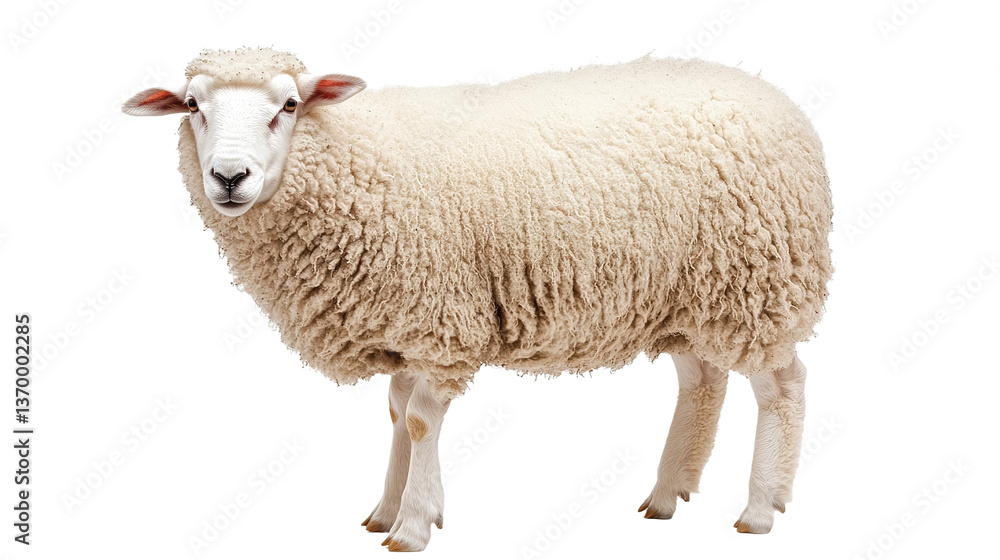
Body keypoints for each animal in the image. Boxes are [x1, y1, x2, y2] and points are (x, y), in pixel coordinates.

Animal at [123, 47, 833, 551]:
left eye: (290, 105)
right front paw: (386, 508)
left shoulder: (439, 321)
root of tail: (776, 98)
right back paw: (667, 494)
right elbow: (396, 412)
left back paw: (760, 508)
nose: (229, 177)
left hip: (759, 281)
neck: (356, 155)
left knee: (783, 386)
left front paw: (412, 524)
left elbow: (418, 420)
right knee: (702, 380)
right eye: (192, 105)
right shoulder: (404, 322)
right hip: (686, 295)